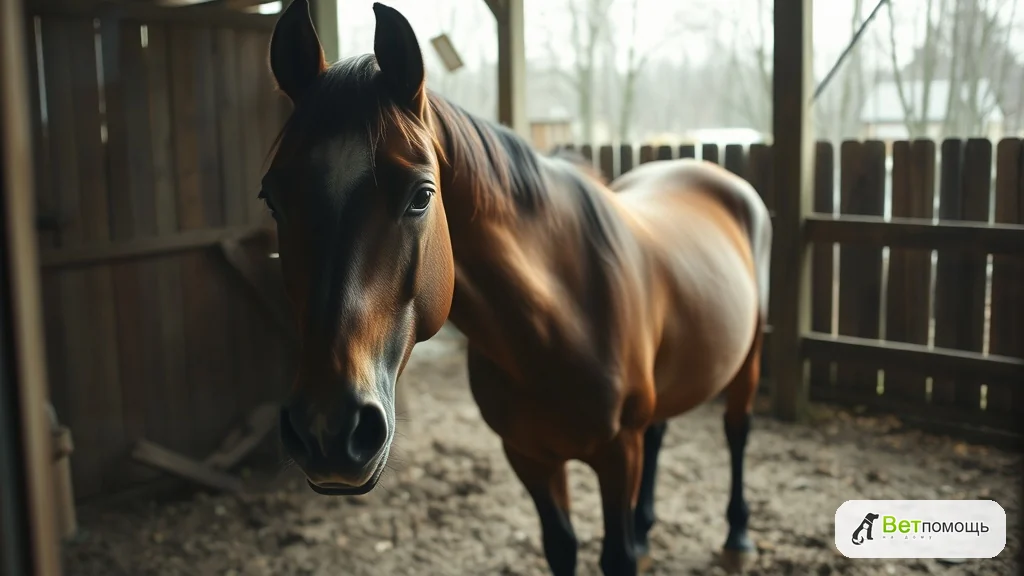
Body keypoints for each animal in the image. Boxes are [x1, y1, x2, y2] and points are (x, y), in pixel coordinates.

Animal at [263, 2, 771, 574]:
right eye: (272, 200)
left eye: (421, 196)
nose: (328, 430)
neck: (557, 322)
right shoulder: (529, 456)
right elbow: (561, 547)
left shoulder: (619, 453)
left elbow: (615, 555)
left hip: (747, 360)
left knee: (737, 430)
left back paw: (737, 534)